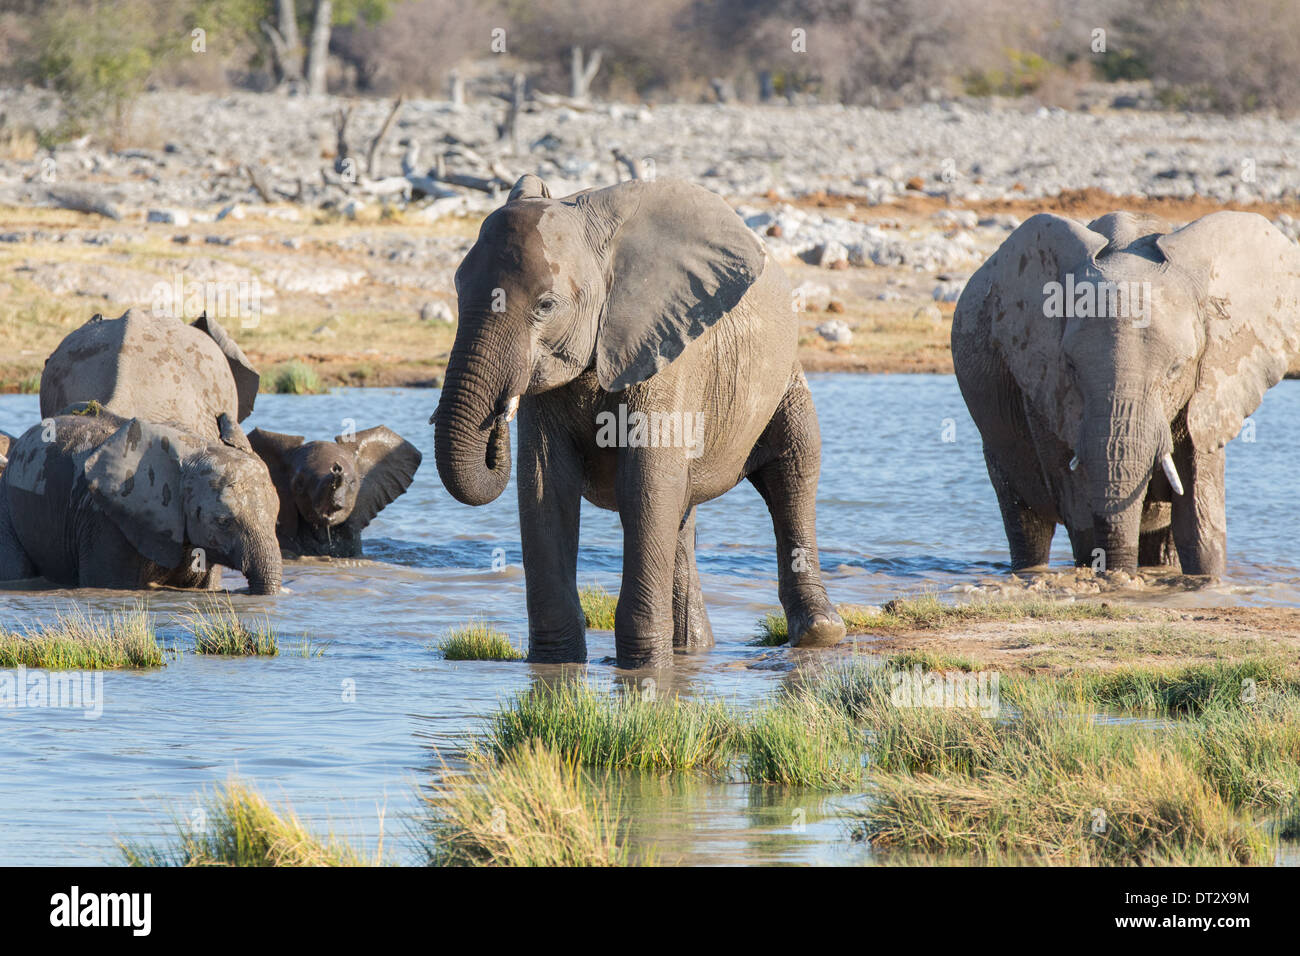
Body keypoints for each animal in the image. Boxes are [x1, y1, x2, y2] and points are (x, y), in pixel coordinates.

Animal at [431, 175, 847, 671]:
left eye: (546, 305)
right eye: (456, 289)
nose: (495, 422)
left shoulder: (668, 351)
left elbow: (644, 484)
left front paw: (643, 670)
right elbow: (544, 485)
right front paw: (555, 667)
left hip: (783, 378)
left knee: (795, 468)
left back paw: (818, 634)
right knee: (681, 511)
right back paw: (692, 651)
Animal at [951, 210, 1300, 580]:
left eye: (1176, 368)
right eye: (1071, 367)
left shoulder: (1208, 393)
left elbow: (1198, 525)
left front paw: (1205, 580)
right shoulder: (1044, 389)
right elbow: (1082, 516)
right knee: (1027, 524)